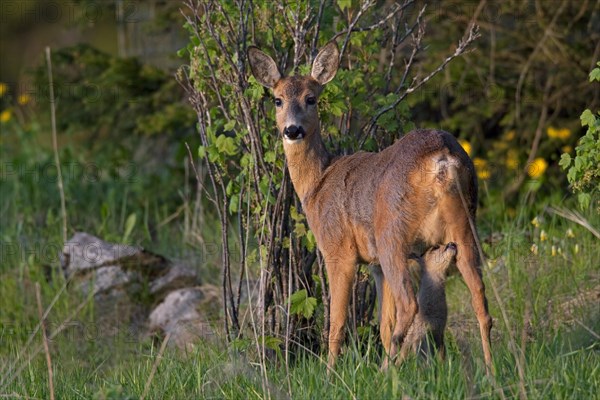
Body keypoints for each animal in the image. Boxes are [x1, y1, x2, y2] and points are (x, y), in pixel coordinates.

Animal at [247, 39, 492, 370]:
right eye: (277, 100)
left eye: (311, 98)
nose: (292, 130)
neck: (317, 185)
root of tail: (442, 160)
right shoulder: (375, 264)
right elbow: (383, 323)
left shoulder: (338, 250)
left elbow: (337, 322)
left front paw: (330, 372)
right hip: (465, 225)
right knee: (481, 301)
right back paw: (490, 369)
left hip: (392, 233)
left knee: (409, 304)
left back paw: (390, 369)